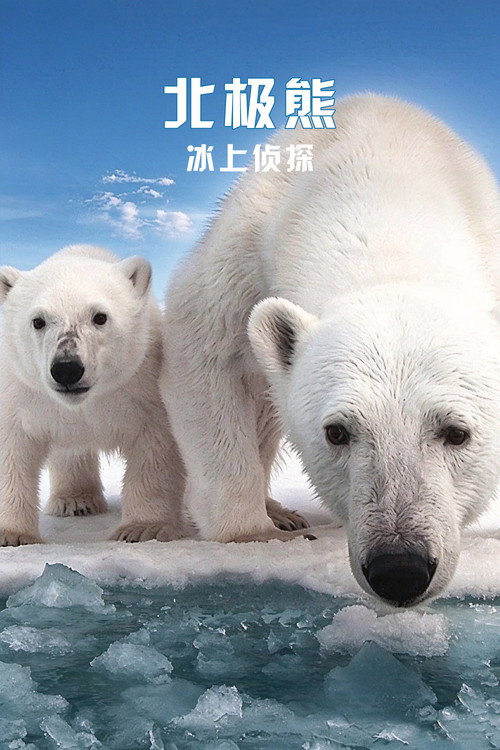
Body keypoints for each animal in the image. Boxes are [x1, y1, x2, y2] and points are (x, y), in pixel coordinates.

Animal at [0, 244, 184, 545]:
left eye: (100, 316)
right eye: (38, 321)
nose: (66, 368)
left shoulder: (142, 388)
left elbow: (154, 447)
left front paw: (143, 529)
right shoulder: (22, 395)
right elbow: (12, 448)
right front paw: (11, 535)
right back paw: (76, 501)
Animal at [161, 93, 500, 606]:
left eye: (457, 432)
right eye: (337, 431)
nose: (399, 568)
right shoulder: (250, 242)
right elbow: (203, 347)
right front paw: (253, 533)